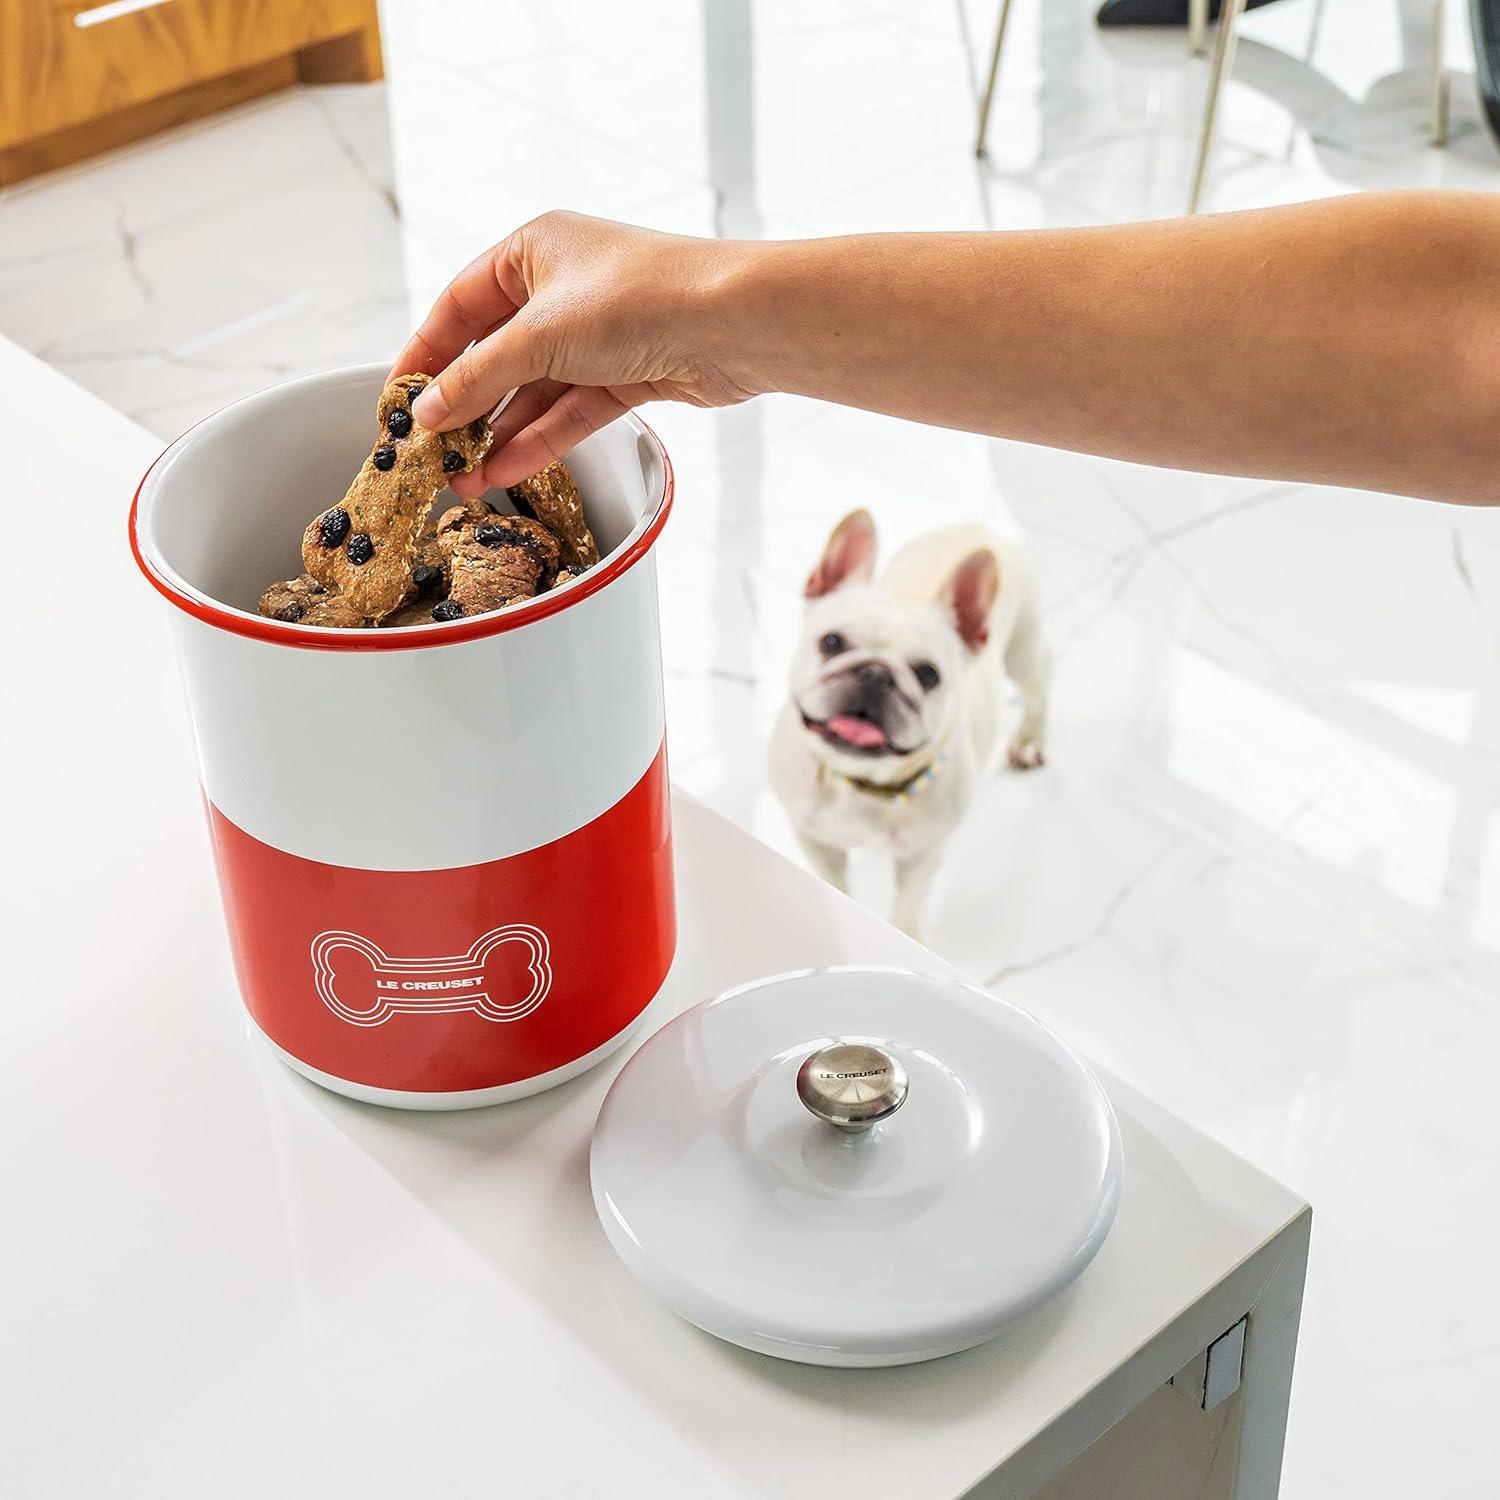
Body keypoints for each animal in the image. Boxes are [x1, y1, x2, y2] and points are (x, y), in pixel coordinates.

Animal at [774, 510, 1044, 930]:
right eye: (831, 642)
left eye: (928, 674)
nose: (874, 675)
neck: (862, 784)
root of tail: (975, 527)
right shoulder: (813, 837)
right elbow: (833, 882)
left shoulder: (923, 856)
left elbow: (908, 906)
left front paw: (903, 933)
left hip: (1022, 652)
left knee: (1040, 684)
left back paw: (1030, 740)